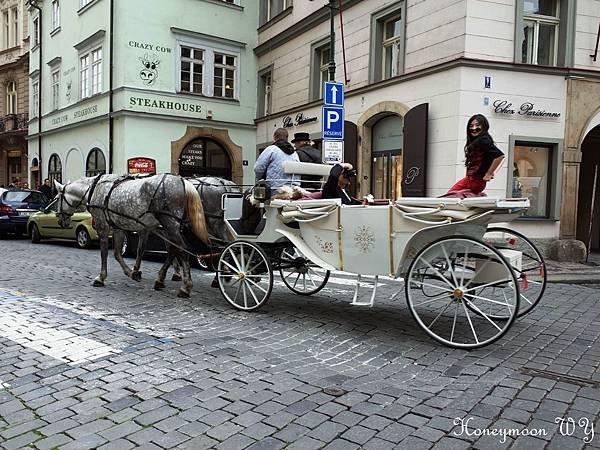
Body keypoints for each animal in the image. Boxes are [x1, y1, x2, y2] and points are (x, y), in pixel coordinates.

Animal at [54, 174, 209, 298]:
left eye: (57, 198)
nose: (60, 220)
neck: (94, 189)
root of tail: (181, 180)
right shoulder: (118, 229)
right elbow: (117, 253)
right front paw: (133, 272)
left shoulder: (103, 227)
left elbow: (105, 253)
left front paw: (101, 278)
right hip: (169, 227)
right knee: (173, 250)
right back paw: (161, 279)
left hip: (169, 224)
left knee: (183, 250)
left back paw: (185, 287)